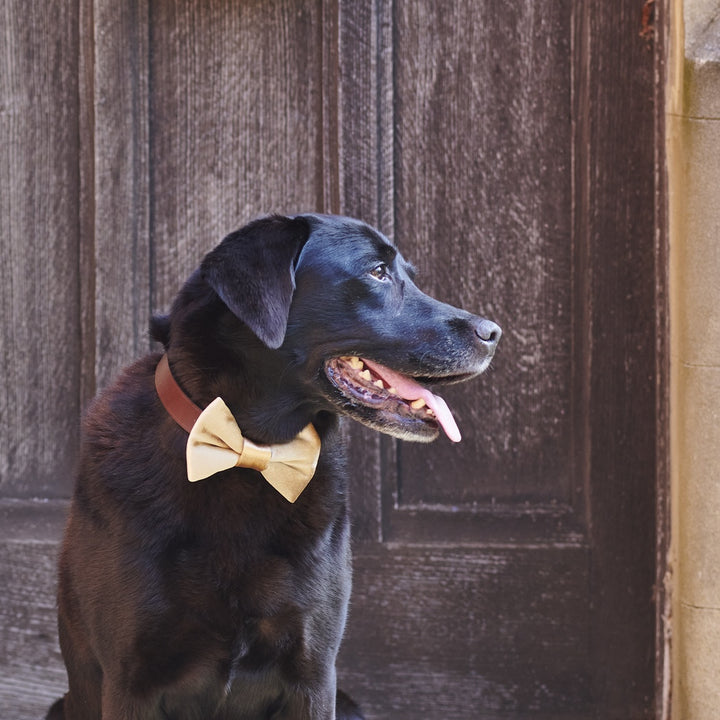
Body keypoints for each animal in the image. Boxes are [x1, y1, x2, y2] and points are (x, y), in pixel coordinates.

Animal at [47, 215, 500, 720]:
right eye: (378, 272)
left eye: (409, 274)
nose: (494, 333)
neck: (251, 450)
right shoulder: (130, 681)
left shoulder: (314, 674)